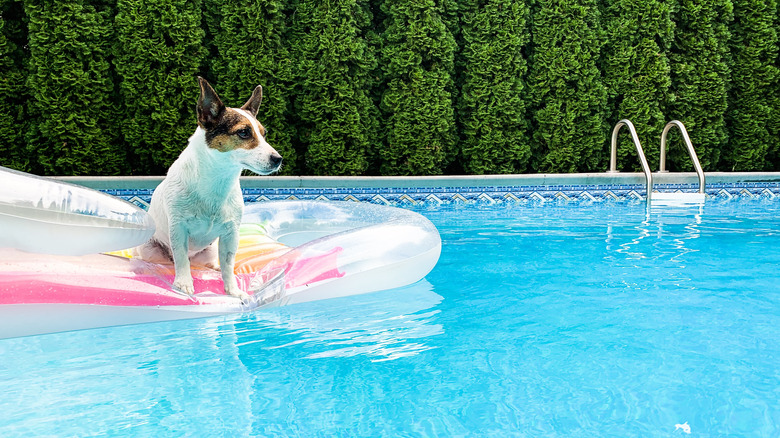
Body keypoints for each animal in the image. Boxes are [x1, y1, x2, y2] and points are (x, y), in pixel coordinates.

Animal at [139, 76, 282, 302]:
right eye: (243, 132)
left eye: (264, 134)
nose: (278, 159)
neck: (217, 179)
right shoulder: (178, 228)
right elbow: (181, 259)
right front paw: (184, 284)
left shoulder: (230, 234)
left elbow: (228, 264)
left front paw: (233, 290)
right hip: (149, 249)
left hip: (209, 251)